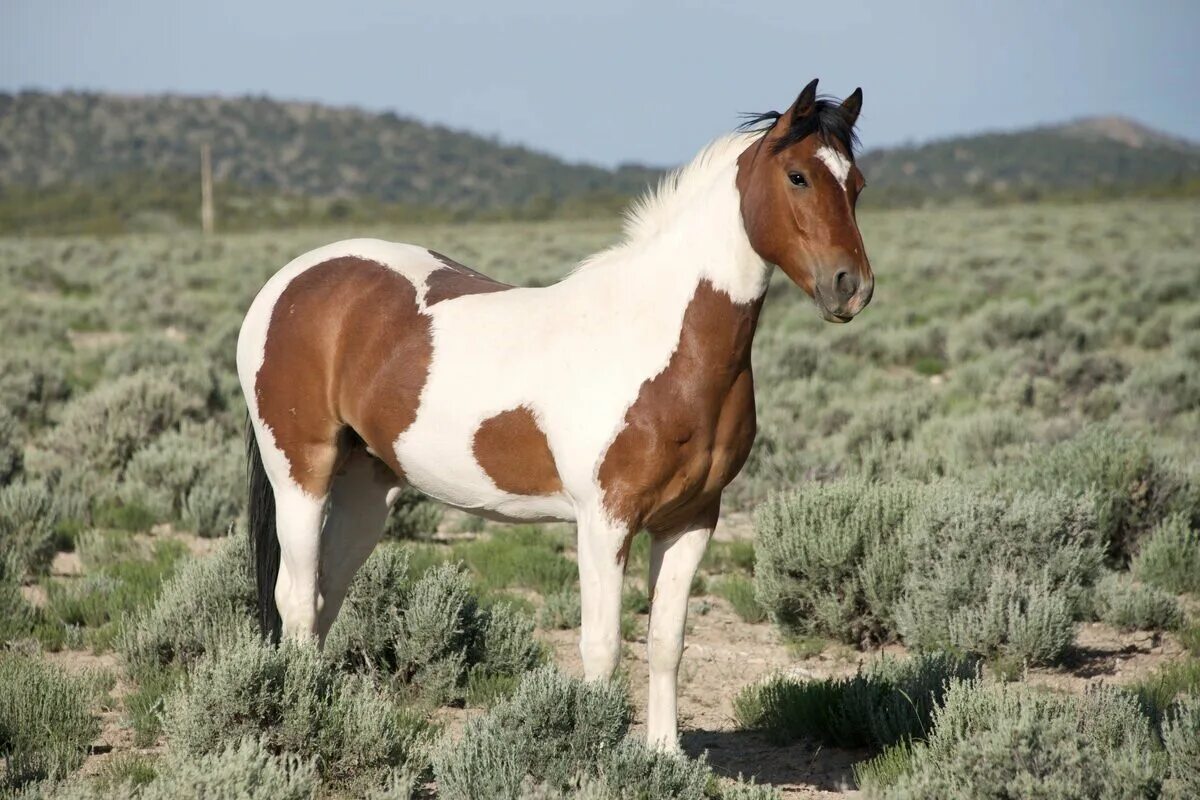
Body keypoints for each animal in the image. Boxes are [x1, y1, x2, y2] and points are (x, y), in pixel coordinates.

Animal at [236, 77, 873, 748]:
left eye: (856, 184)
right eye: (798, 176)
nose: (850, 286)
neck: (657, 337)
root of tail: (291, 281)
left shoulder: (693, 518)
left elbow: (666, 642)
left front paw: (666, 755)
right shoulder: (605, 521)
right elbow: (602, 647)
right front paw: (596, 751)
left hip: (367, 484)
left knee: (325, 594)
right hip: (301, 473)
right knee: (296, 595)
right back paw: (305, 718)